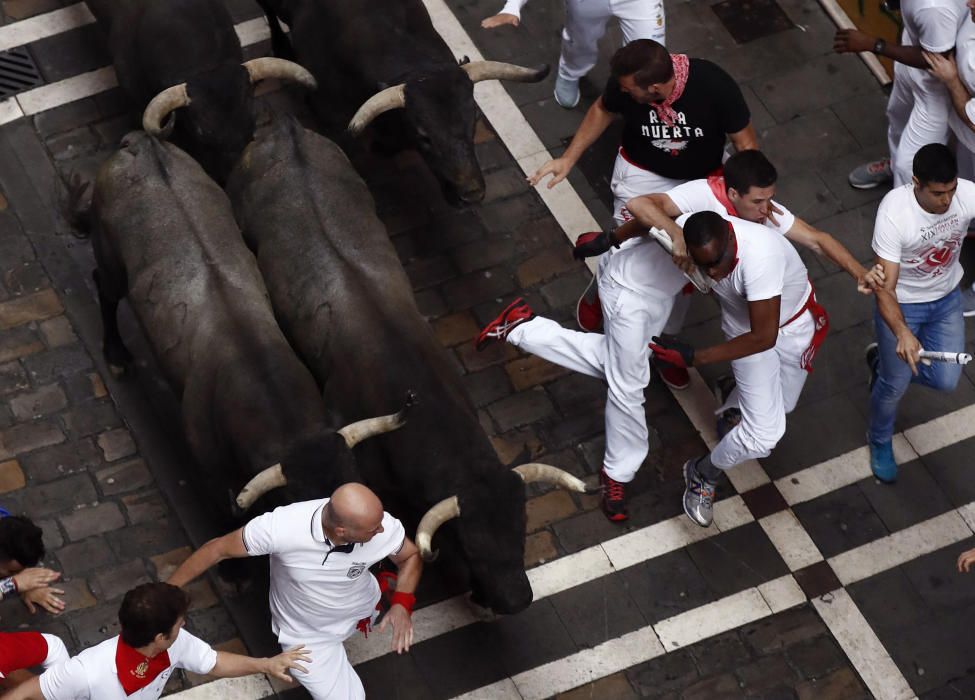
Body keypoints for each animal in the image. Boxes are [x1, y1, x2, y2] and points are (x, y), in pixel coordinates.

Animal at [74, 131, 410, 524]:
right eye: (298, 506)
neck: (255, 367)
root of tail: (141, 143)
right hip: (110, 258)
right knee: (105, 288)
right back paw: (116, 355)